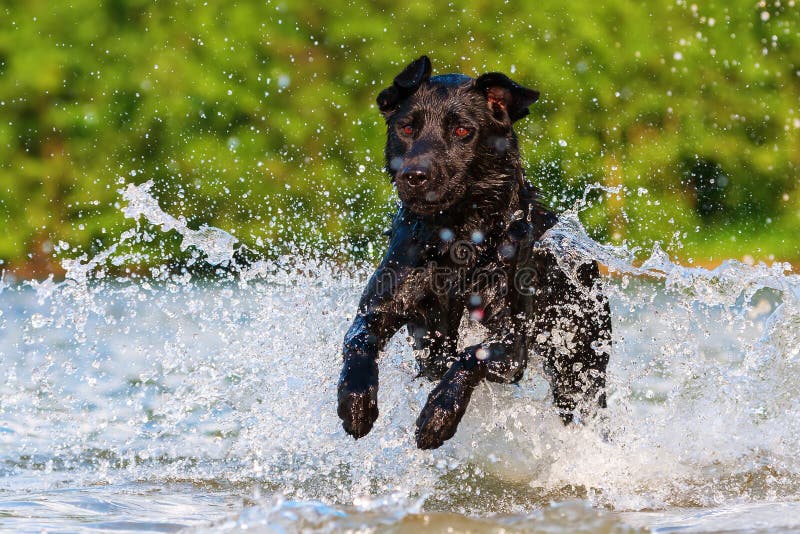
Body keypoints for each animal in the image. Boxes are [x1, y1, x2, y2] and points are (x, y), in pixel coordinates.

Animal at [338, 57, 612, 452]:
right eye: (406, 127)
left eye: (462, 131)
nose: (415, 175)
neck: (457, 239)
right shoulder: (383, 305)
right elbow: (358, 339)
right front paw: (355, 400)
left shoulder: (512, 344)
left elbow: (472, 355)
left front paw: (439, 413)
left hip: (579, 366)